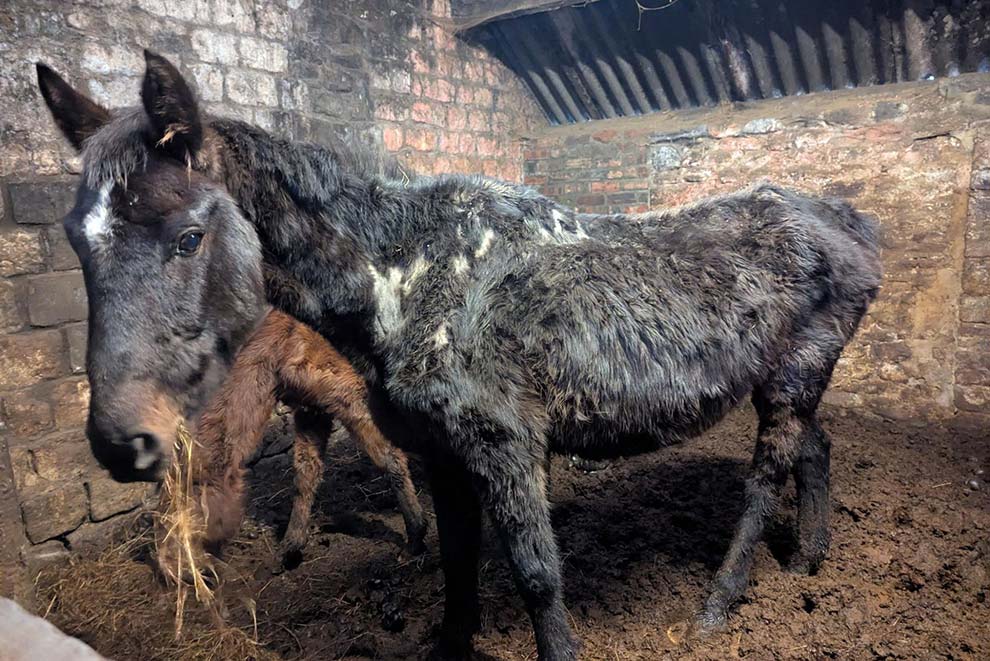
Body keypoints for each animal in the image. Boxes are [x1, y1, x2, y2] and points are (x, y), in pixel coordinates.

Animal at [38, 52, 881, 660]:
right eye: (77, 237)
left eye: (188, 236)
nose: (121, 440)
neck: (410, 275)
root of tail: (846, 219)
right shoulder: (440, 452)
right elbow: (456, 567)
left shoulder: (504, 444)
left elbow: (538, 576)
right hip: (790, 380)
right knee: (816, 449)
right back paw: (806, 562)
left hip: (793, 377)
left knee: (765, 478)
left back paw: (719, 603)